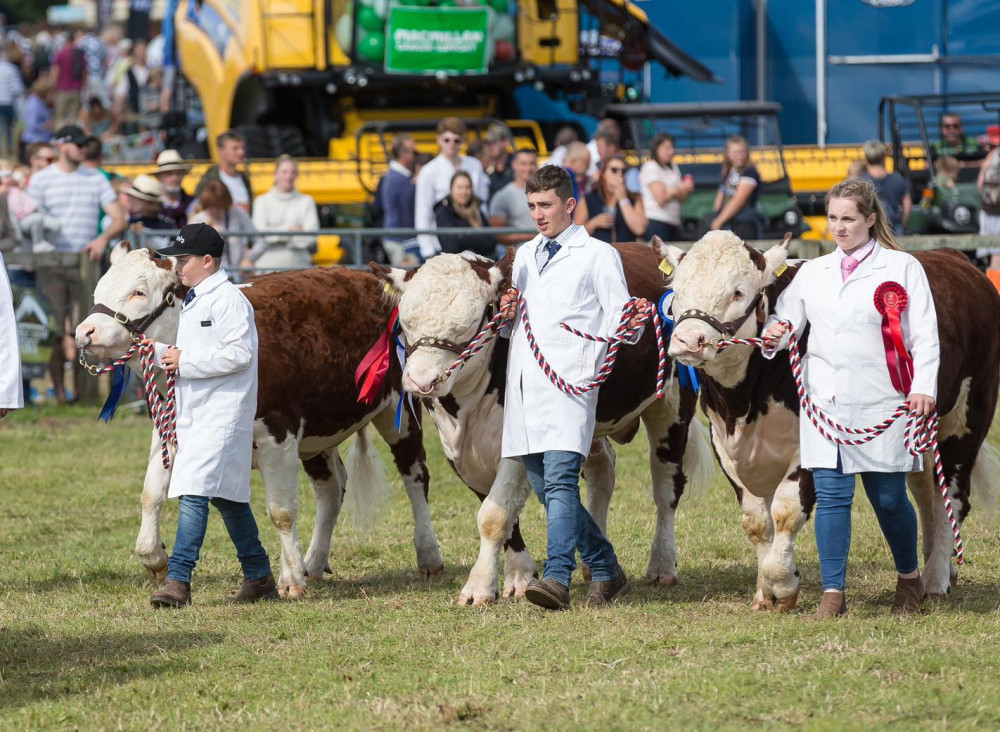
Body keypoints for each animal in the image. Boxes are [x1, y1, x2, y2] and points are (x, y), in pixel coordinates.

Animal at [74, 243, 442, 596]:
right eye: (99, 290)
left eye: (138, 292)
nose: (84, 332)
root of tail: (371, 277)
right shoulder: (169, 429)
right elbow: (151, 493)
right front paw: (155, 558)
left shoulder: (278, 434)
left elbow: (281, 511)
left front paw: (290, 580)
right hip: (317, 433)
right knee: (331, 489)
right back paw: (314, 562)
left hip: (400, 409)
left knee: (415, 475)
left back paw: (428, 555)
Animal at [372, 246, 716, 608]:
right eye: (406, 322)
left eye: (470, 323)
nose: (421, 381)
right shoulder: (459, 452)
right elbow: (502, 510)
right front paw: (520, 575)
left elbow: (494, 516)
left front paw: (480, 587)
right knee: (602, 473)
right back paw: (596, 568)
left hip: (671, 409)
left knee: (666, 489)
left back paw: (661, 565)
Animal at [660, 233, 996, 608]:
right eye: (677, 291)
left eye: (738, 291)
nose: (688, 339)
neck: (743, 404)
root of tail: (954, 257)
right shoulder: (724, 444)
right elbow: (756, 521)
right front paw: (764, 593)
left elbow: (786, 511)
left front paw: (783, 585)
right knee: (926, 493)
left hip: (966, 418)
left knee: (951, 495)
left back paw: (937, 578)